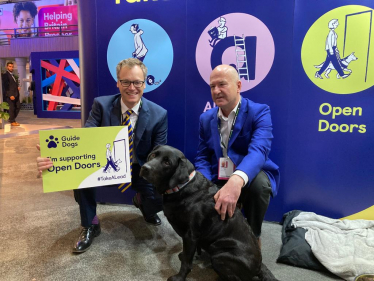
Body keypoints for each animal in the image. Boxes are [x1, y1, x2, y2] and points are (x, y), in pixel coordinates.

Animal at [140, 144, 278, 280]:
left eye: (167, 162)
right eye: (153, 155)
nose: (145, 168)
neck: (182, 187)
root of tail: (259, 267)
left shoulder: (190, 235)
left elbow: (186, 262)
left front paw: (179, 277)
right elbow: (189, 254)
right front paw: (190, 256)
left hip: (219, 255)